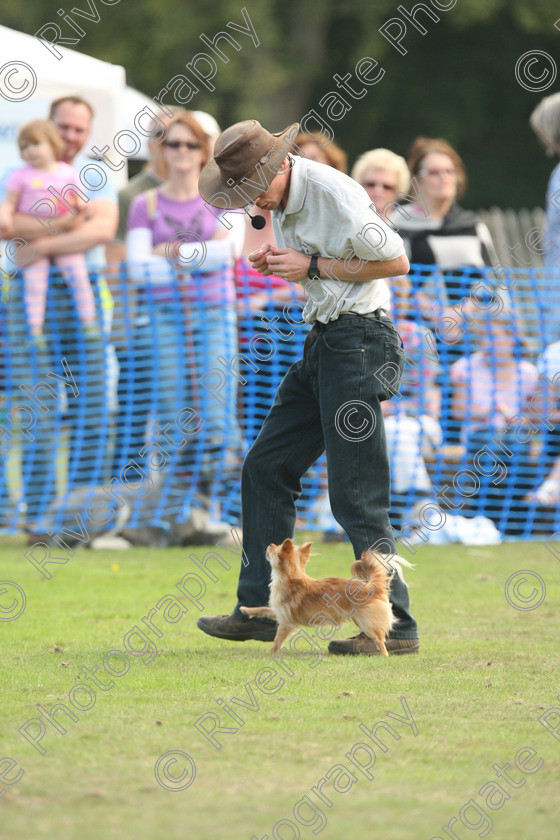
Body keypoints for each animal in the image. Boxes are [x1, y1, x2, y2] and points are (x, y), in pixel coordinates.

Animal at [238, 540, 410, 656]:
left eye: (275, 548)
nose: (270, 543)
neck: (290, 578)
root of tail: (371, 586)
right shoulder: (278, 611)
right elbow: (263, 609)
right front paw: (246, 609)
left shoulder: (286, 622)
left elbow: (278, 638)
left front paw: (270, 651)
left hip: (366, 621)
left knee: (380, 638)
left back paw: (383, 653)